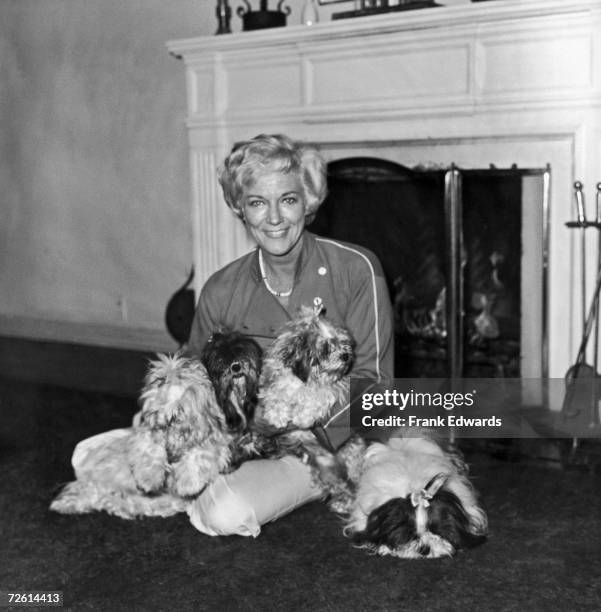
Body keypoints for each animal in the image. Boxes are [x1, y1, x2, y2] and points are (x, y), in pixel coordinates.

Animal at [49, 338, 260, 520]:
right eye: (159, 380)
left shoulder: (215, 441)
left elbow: (201, 454)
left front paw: (187, 482)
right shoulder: (148, 432)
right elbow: (149, 450)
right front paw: (149, 478)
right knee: (96, 490)